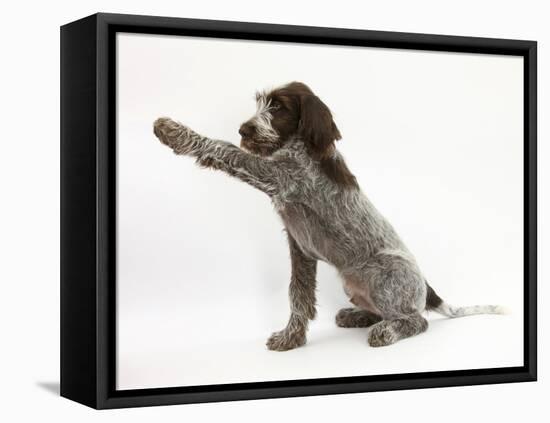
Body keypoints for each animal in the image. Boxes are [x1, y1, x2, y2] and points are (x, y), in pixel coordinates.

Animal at [153, 80, 506, 352]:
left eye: (278, 107)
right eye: (261, 104)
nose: (244, 129)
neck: (300, 146)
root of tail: (427, 289)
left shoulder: (275, 175)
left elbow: (225, 150)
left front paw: (173, 131)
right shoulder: (299, 248)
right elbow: (298, 295)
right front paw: (291, 339)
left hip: (382, 274)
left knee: (416, 320)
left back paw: (386, 331)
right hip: (353, 282)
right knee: (388, 312)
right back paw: (357, 316)